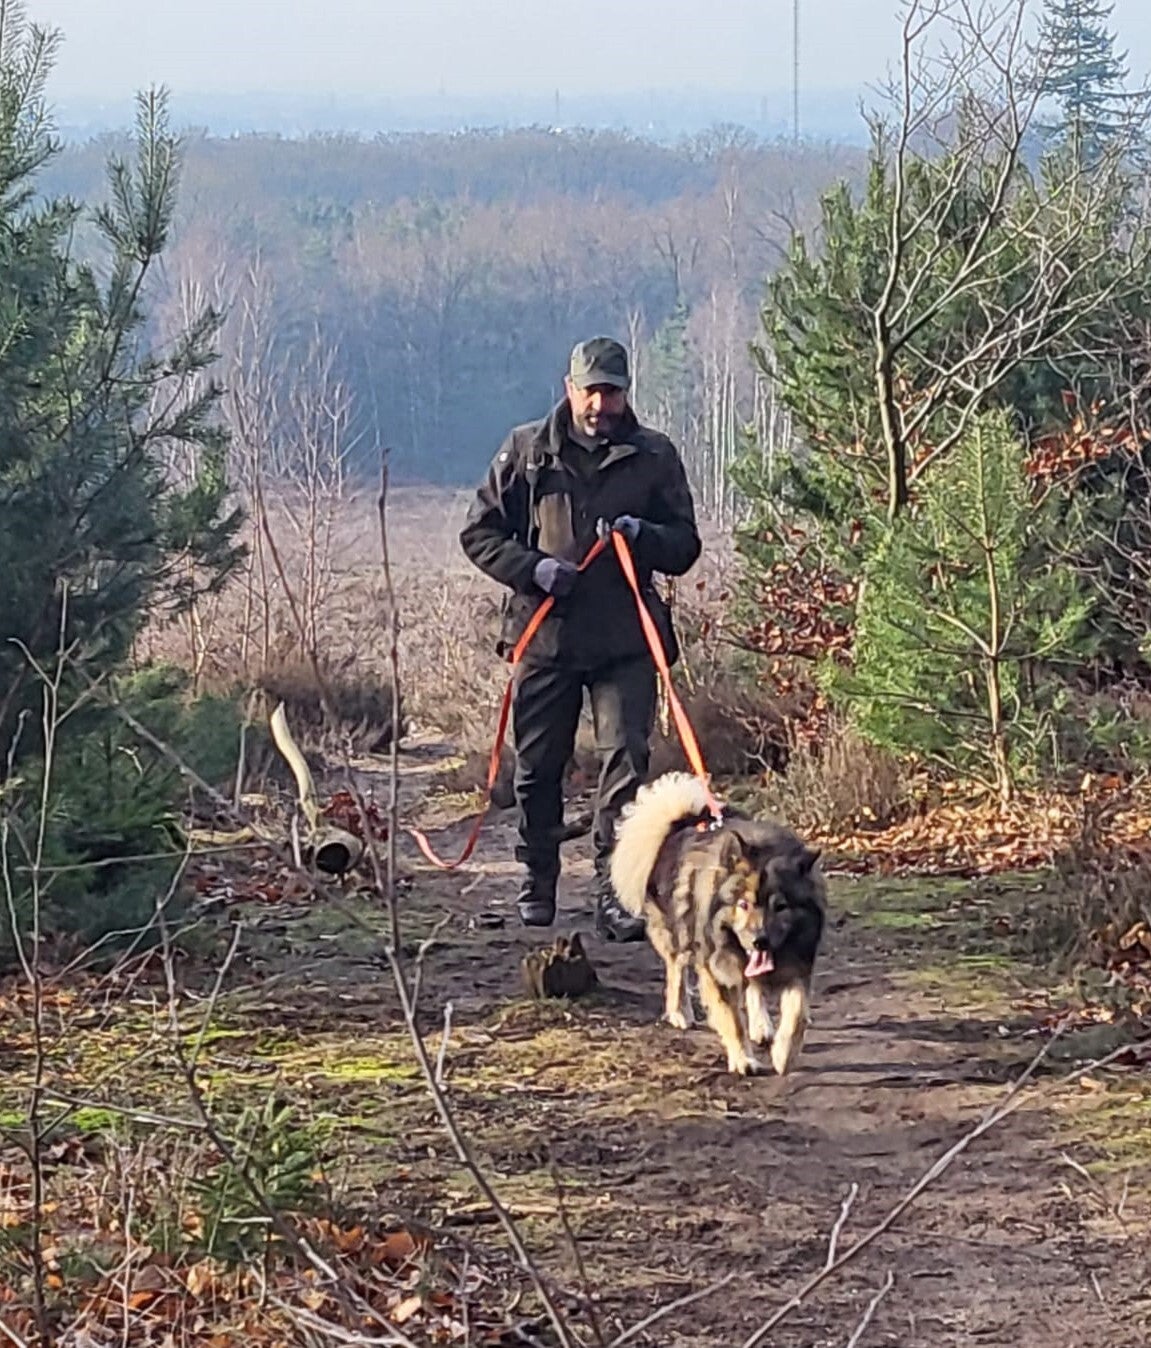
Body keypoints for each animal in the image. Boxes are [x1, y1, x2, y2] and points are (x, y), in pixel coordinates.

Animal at [610, 772, 825, 1076]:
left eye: (781, 906)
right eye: (744, 904)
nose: (760, 940)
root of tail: (680, 824)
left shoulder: (798, 968)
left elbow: (796, 1014)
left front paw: (784, 1054)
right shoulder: (715, 969)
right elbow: (733, 1020)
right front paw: (744, 1060)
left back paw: (761, 1025)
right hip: (678, 929)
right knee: (676, 968)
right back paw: (680, 1012)